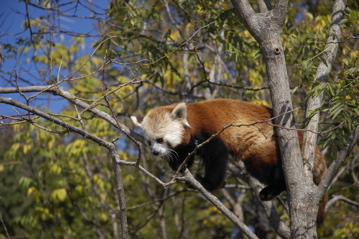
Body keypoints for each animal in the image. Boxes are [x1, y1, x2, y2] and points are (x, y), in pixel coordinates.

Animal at [133, 98, 330, 223]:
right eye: (149, 142)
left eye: (159, 139)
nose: (155, 152)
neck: (192, 119)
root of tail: (299, 134)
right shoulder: (188, 142)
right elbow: (185, 153)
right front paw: (178, 164)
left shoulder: (210, 131)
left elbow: (217, 157)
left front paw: (205, 182)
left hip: (264, 145)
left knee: (263, 167)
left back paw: (272, 189)